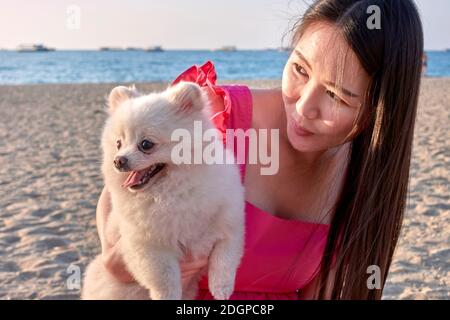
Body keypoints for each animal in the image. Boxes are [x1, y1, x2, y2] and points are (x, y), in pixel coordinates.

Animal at [81, 80, 243, 300]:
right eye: (118, 143)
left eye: (146, 144)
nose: (118, 160)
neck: (171, 192)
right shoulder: (150, 248)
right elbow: (166, 280)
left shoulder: (229, 224)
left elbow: (224, 259)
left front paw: (221, 288)